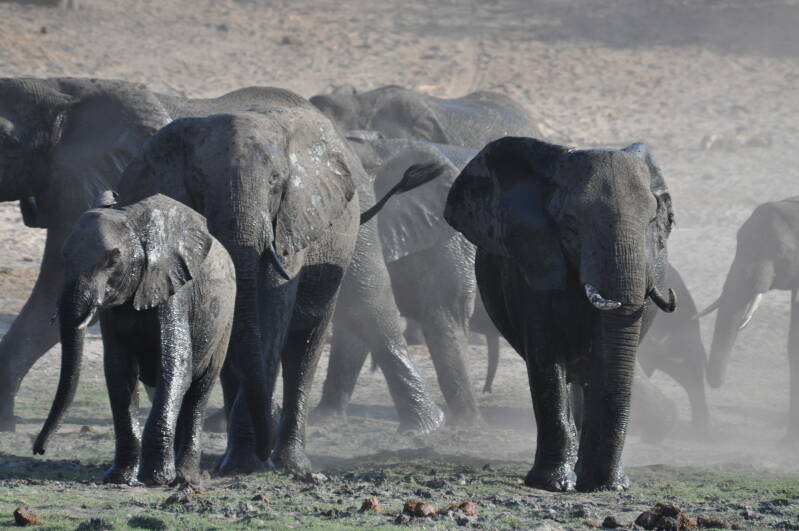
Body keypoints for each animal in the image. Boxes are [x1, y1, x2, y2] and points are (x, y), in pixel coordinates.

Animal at [33, 193, 235, 485]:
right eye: (64, 257)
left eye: (112, 262)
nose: (39, 449)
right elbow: (119, 372)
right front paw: (119, 478)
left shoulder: (174, 289)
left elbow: (176, 365)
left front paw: (156, 478)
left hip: (225, 324)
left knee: (200, 390)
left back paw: (185, 477)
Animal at [444, 137, 677, 491]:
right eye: (570, 224)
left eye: (654, 222)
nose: (604, 483)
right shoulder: (533, 262)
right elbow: (545, 358)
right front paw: (553, 484)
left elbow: (605, 359)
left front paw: (608, 485)